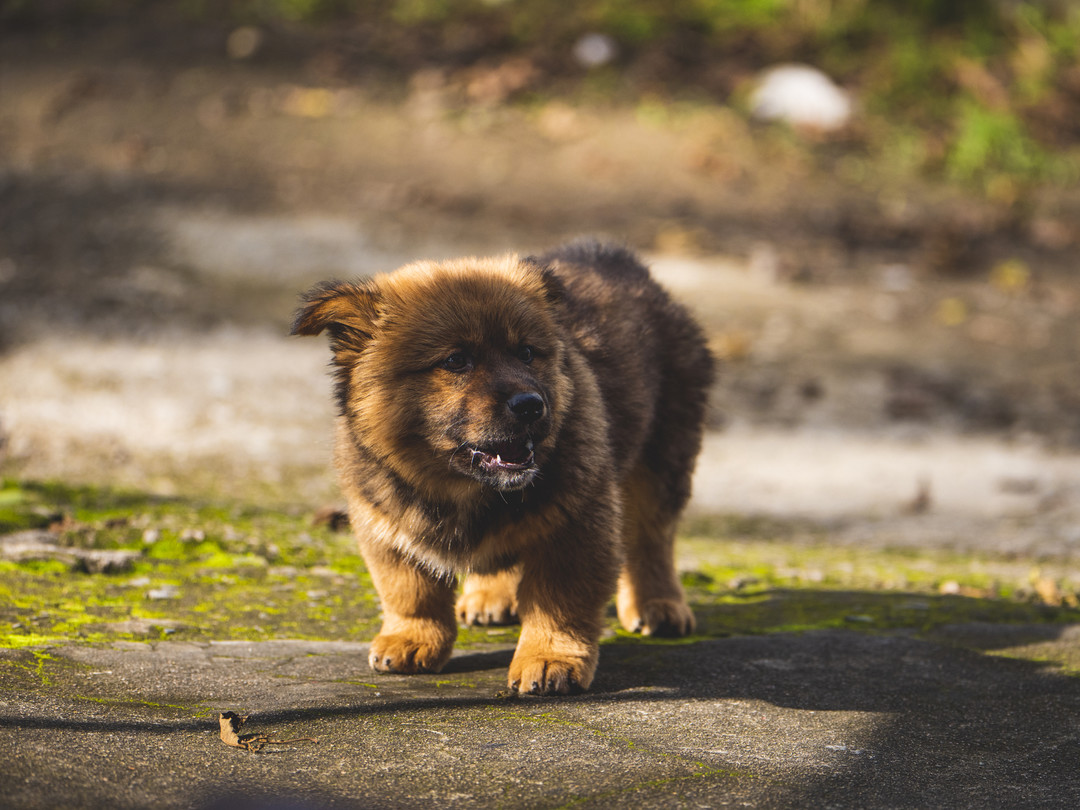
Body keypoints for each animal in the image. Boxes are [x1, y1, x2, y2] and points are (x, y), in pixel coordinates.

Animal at [295, 240, 712, 699]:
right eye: (456, 361)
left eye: (527, 353)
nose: (532, 406)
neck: (461, 489)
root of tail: (620, 262)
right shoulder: (385, 523)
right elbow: (409, 589)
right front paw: (412, 637)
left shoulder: (578, 523)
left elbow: (559, 602)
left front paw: (550, 657)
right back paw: (490, 596)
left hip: (663, 456)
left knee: (651, 538)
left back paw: (658, 604)